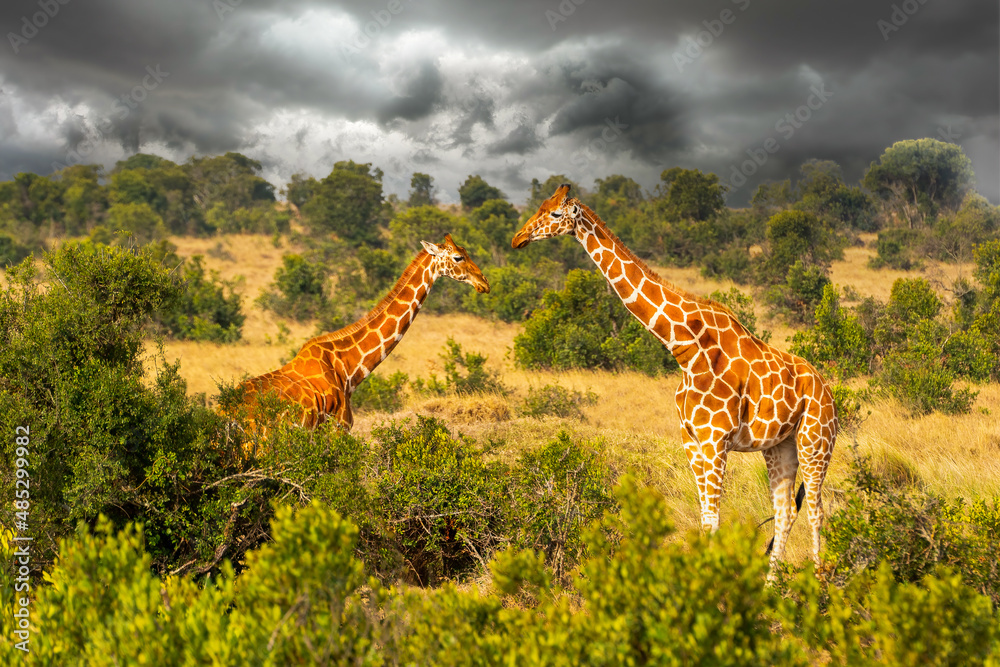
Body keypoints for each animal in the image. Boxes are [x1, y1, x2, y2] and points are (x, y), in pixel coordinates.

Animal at [512, 185, 837, 576]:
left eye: (555, 214)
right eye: (540, 206)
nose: (518, 238)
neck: (685, 348)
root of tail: (829, 392)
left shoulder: (715, 441)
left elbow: (714, 519)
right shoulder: (692, 441)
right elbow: (706, 519)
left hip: (815, 441)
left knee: (817, 510)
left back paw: (816, 582)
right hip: (779, 446)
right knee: (785, 512)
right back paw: (771, 585)